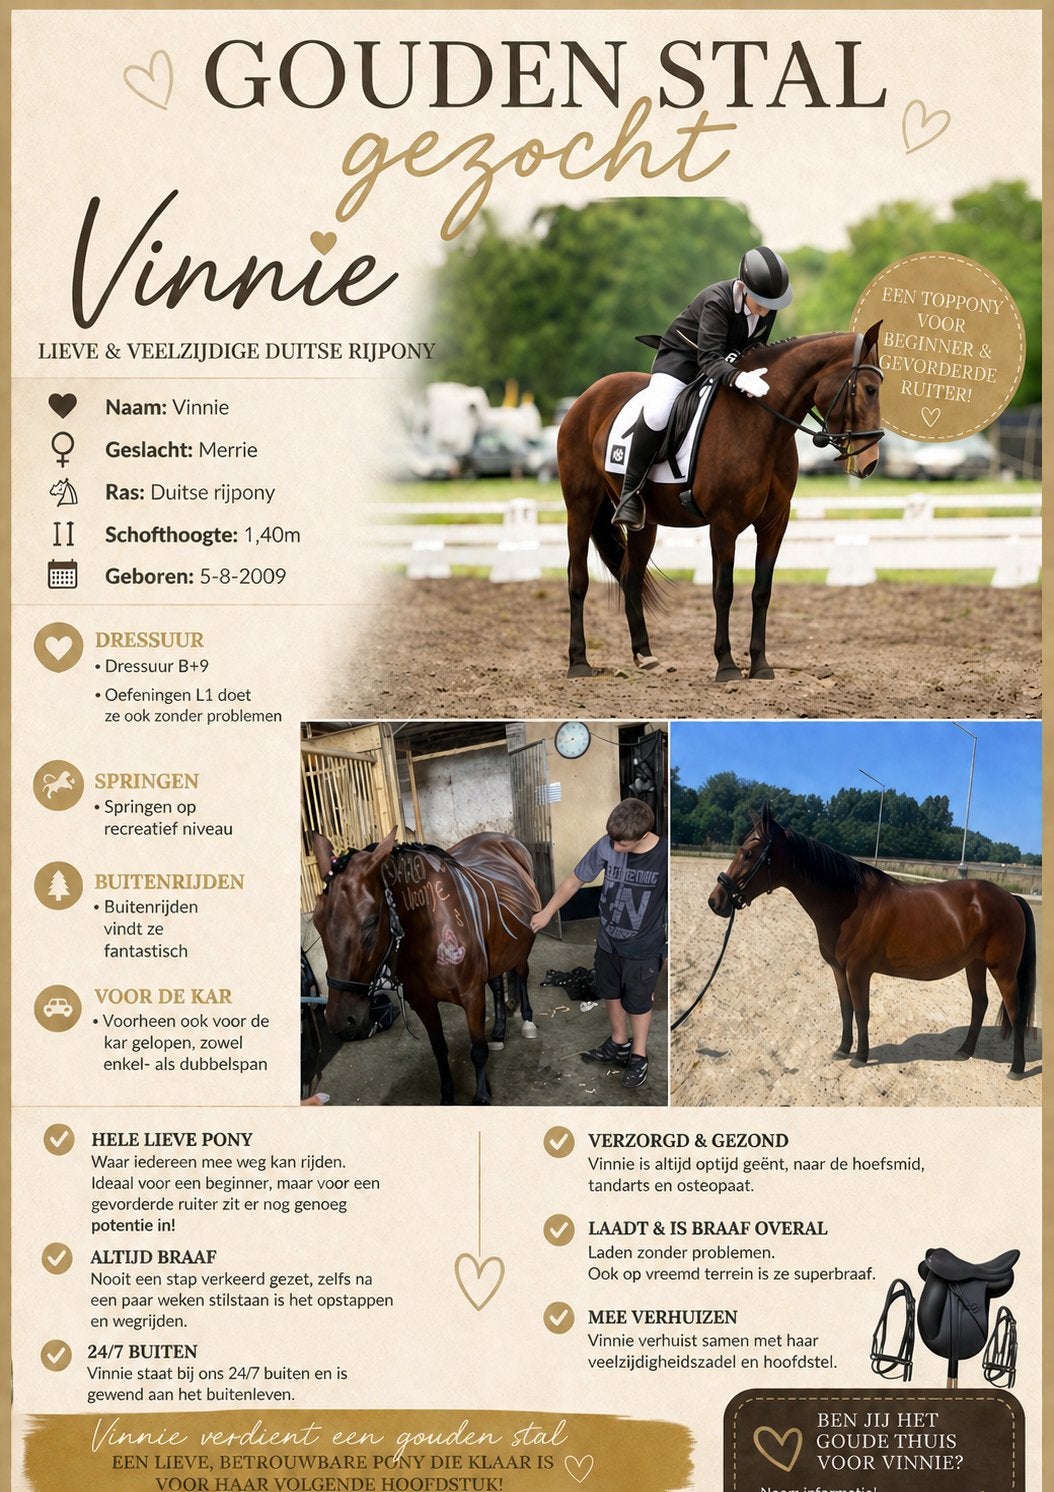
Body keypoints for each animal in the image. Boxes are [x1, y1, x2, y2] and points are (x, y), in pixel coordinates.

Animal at [310, 827, 540, 1104]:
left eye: (371, 922)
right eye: (317, 921)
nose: (339, 1020)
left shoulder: (472, 997)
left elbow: (478, 1050)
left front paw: (482, 1095)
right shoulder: (423, 1004)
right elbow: (439, 1050)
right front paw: (447, 1096)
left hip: (523, 947)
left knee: (522, 974)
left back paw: (527, 1020)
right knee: (497, 983)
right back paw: (498, 1031)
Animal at [557, 323, 883, 681]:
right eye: (869, 389)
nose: (869, 463)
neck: (762, 425)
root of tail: (588, 396)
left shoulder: (774, 524)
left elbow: (761, 591)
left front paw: (760, 665)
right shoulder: (724, 525)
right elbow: (723, 591)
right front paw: (726, 665)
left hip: (646, 522)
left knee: (632, 577)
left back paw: (646, 657)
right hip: (580, 506)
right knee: (578, 578)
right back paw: (578, 662)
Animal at [707, 803, 1036, 1078]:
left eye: (749, 853)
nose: (716, 900)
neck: (852, 904)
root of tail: (1011, 897)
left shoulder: (858, 971)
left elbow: (863, 1012)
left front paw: (860, 1056)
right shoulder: (839, 970)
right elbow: (846, 1009)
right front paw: (843, 1049)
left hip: (1003, 970)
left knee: (1016, 1012)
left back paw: (1016, 1069)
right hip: (975, 964)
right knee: (980, 1003)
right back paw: (964, 1051)